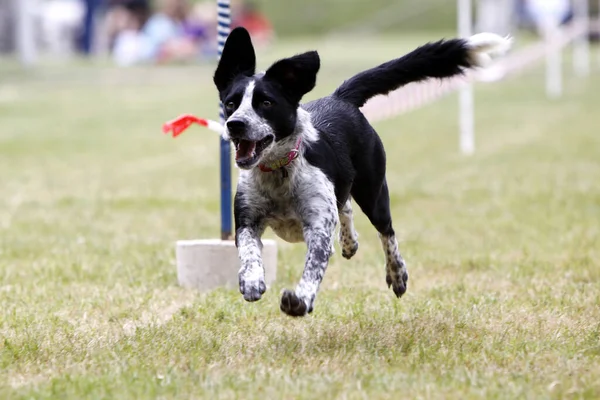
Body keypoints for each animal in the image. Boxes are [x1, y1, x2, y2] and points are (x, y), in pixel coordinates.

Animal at [212, 26, 510, 318]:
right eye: (230, 103)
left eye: (266, 103)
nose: (235, 124)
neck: (279, 169)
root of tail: (340, 98)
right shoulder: (247, 220)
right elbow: (249, 251)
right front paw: (252, 280)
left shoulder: (318, 228)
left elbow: (313, 267)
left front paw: (300, 300)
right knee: (345, 204)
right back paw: (349, 242)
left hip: (373, 192)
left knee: (386, 231)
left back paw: (397, 274)